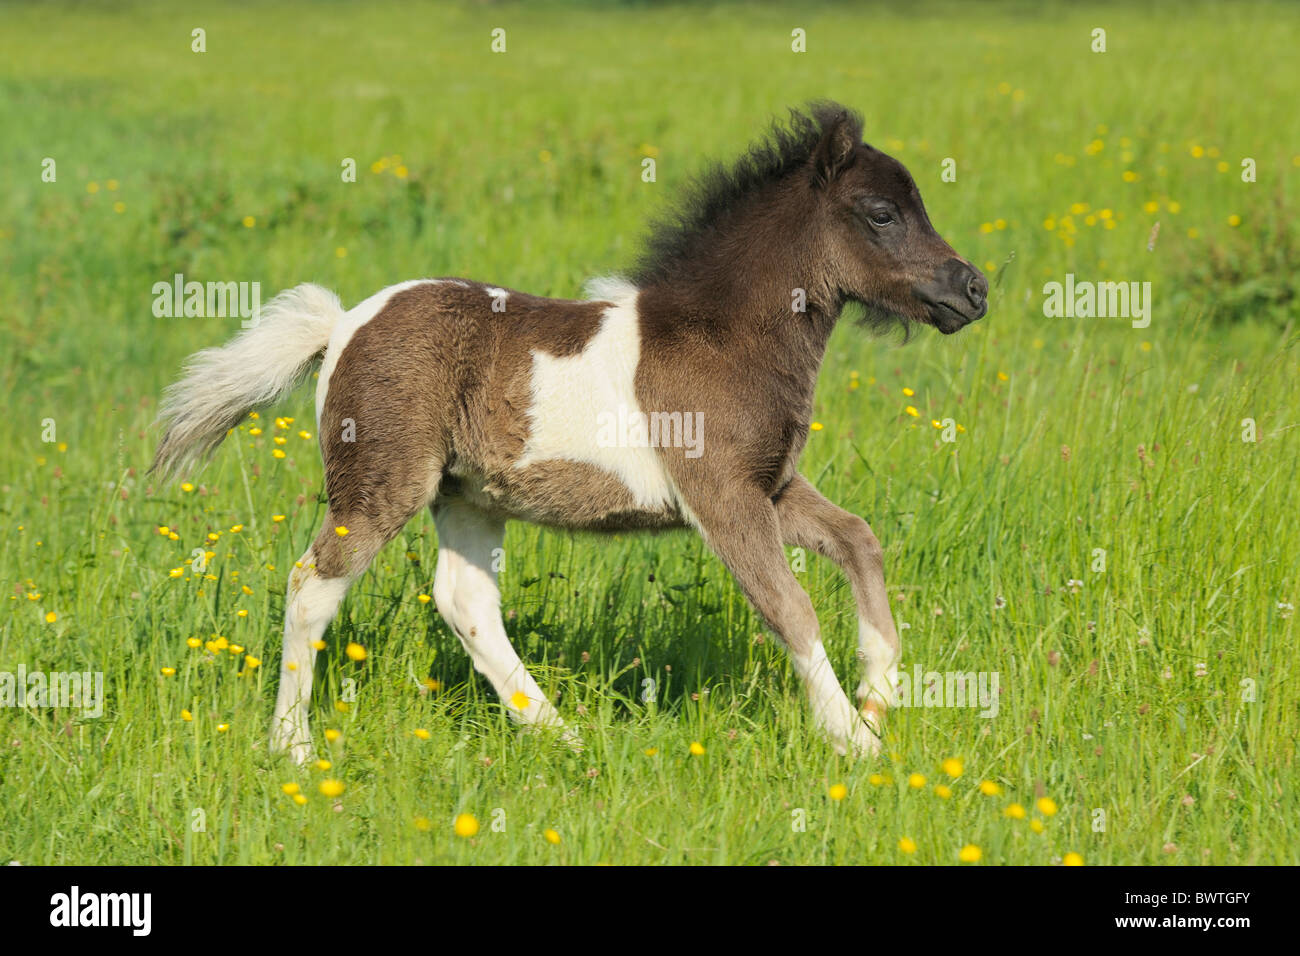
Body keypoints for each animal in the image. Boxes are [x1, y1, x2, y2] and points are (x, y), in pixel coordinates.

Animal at [152, 102, 982, 764]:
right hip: (385, 481)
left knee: (465, 602)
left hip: (469, 494)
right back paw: (291, 747)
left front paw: (877, 700)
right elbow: (789, 606)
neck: (723, 337)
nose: (972, 289)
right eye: (881, 213)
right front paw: (853, 741)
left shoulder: (770, 486)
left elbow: (859, 540)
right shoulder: (721, 496)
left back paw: (563, 736)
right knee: (313, 585)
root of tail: (343, 325)